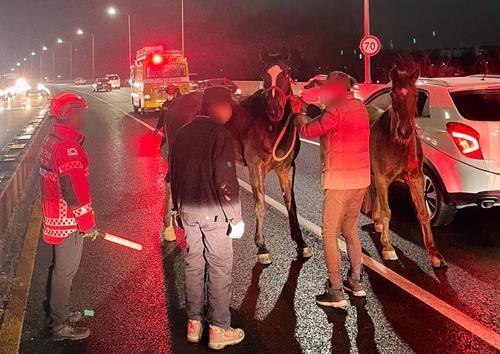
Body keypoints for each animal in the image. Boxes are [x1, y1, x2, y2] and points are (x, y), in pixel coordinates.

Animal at [162, 47, 312, 264]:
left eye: (286, 73)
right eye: (264, 75)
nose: (275, 110)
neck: (270, 126)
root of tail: (175, 102)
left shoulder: (287, 168)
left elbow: (291, 204)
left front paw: (301, 243)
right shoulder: (256, 167)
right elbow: (260, 204)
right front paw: (262, 247)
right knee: (169, 182)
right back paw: (169, 228)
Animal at [370, 67, 448, 268]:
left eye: (416, 95)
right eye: (392, 93)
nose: (405, 131)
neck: (398, 144)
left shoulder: (417, 178)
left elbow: (423, 213)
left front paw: (435, 254)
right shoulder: (382, 176)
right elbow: (387, 211)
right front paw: (388, 247)